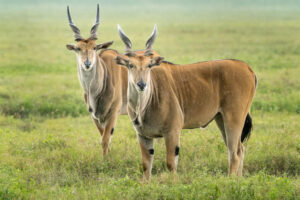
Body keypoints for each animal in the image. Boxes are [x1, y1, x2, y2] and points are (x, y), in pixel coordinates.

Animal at [115, 24, 258, 179]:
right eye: (131, 65)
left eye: (149, 65)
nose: (141, 84)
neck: (144, 106)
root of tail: (247, 68)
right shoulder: (143, 135)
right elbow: (146, 165)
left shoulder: (172, 131)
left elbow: (171, 164)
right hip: (221, 119)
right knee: (240, 149)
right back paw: (238, 179)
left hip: (233, 118)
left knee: (234, 153)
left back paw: (229, 180)